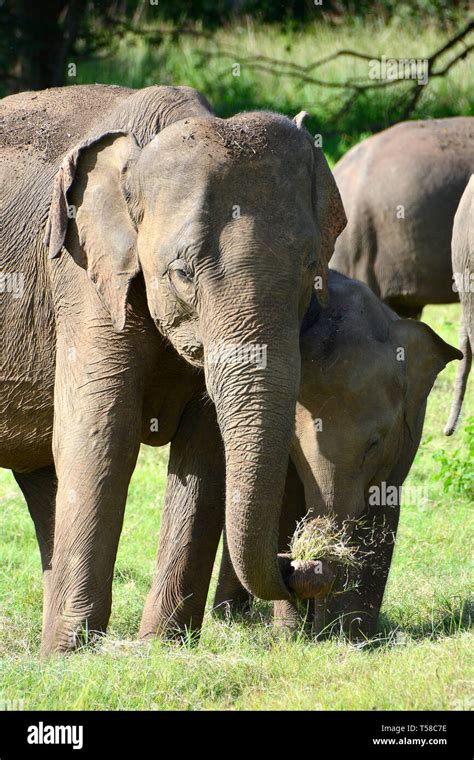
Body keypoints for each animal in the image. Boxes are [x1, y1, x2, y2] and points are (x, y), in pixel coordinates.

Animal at [0, 84, 346, 653]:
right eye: (182, 272)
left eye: (310, 270)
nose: (309, 563)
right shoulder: (80, 274)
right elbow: (100, 435)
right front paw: (72, 655)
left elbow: (205, 448)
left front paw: (161, 645)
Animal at [211, 270, 461, 639]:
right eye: (295, 447)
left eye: (374, 444)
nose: (298, 561)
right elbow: (286, 504)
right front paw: (295, 635)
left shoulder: (408, 429)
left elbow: (382, 510)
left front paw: (354, 635)